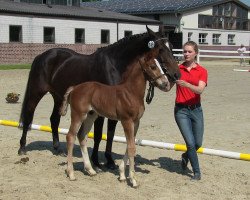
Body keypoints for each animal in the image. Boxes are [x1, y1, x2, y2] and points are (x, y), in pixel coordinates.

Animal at [19, 26, 180, 167]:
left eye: (172, 46)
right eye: (160, 49)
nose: (176, 74)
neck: (115, 64)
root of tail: (42, 56)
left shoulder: (115, 108)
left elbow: (110, 134)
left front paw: (109, 161)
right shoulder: (100, 109)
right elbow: (98, 135)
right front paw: (96, 161)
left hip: (58, 96)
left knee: (54, 119)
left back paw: (58, 148)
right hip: (36, 93)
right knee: (28, 116)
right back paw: (22, 148)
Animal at [59, 47, 171, 188]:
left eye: (161, 66)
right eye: (152, 66)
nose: (166, 84)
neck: (131, 92)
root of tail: (75, 88)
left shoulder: (136, 122)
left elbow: (129, 145)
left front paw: (122, 175)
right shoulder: (126, 121)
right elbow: (131, 148)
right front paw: (133, 180)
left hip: (91, 116)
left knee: (82, 136)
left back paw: (90, 170)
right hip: (78, 115)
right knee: (70, 136)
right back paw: (71, 173)